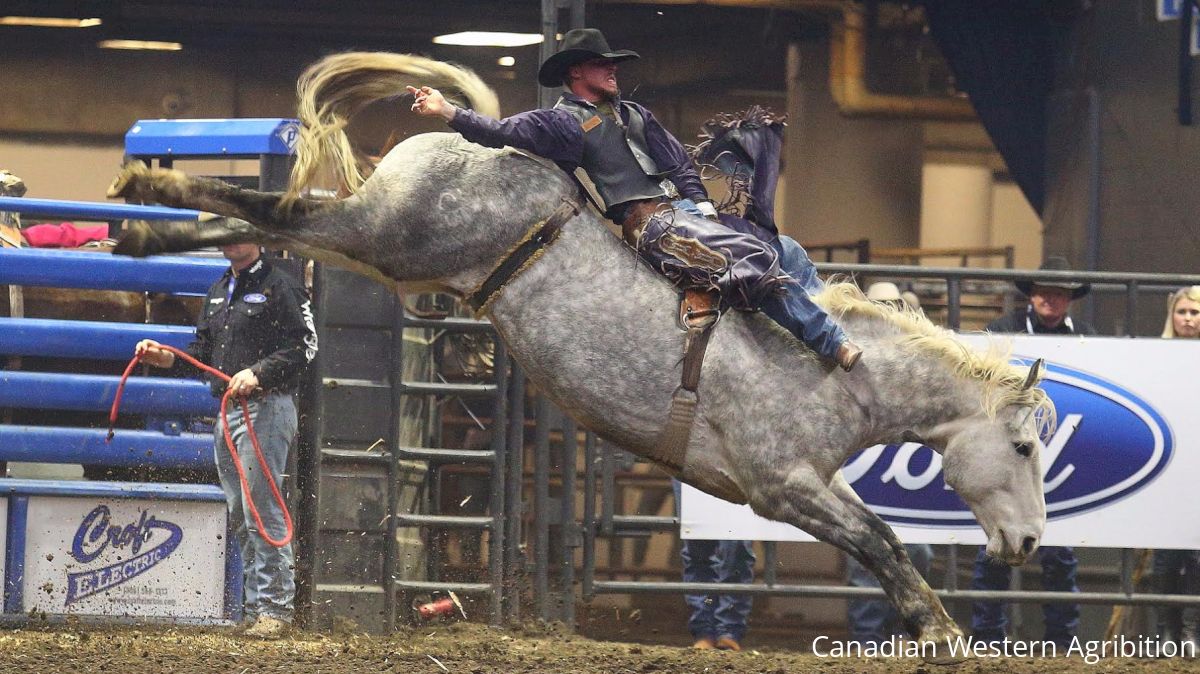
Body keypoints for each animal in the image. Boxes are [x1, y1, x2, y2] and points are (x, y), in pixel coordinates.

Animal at [110, 52, 1051, 647]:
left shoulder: (805, 485)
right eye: (1023, 444)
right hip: (387, 232)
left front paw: (931, 622)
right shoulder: (781, 485)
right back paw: (147, 197)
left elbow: (884, 541)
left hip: (380, 251)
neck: (834, 377)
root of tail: (476, 134)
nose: (1031, 543)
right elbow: (884, 538)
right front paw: (940, 628)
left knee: (278, 222)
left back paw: (144, 218)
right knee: (283, 212)